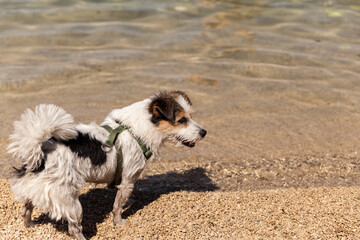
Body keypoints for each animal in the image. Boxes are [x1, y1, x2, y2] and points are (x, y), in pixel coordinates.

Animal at [8, 91, 207, 239]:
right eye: (182, 120)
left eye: (191, 117)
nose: (204, 132)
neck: (136, 131)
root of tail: (39, 156)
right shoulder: (128, 181)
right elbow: (117, 206)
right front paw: (118, 222)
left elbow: (121, 200)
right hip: (70, 202)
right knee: (74, 229)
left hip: (31, 191)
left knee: (25, 210)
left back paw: (30, 226)